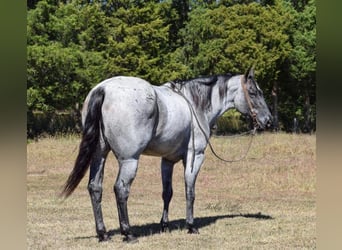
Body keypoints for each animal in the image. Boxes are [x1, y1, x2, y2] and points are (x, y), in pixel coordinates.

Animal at [59, 67, 272, 243]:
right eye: (254, 92)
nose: (268, 121)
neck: (196, 104)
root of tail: (103, 89)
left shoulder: (167, 160)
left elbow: (167, 193)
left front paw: (164, 225)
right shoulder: (195, 156)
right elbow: (190, 191)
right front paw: (191, 226)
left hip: (99, 155)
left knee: (95, 188)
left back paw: (103, 234)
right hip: (129, 160)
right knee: (121, 189)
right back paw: (128, 233)